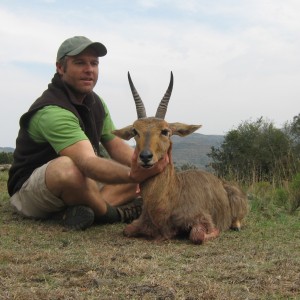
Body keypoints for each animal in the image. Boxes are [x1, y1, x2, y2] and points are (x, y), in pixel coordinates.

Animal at [112, 72, 248, 244]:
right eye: (135, 131)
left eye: (165, 131)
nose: (145, 157)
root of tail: (220, 182)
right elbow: (126, 230)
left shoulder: (201, 219)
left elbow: (197, 236)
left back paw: (236, 225)